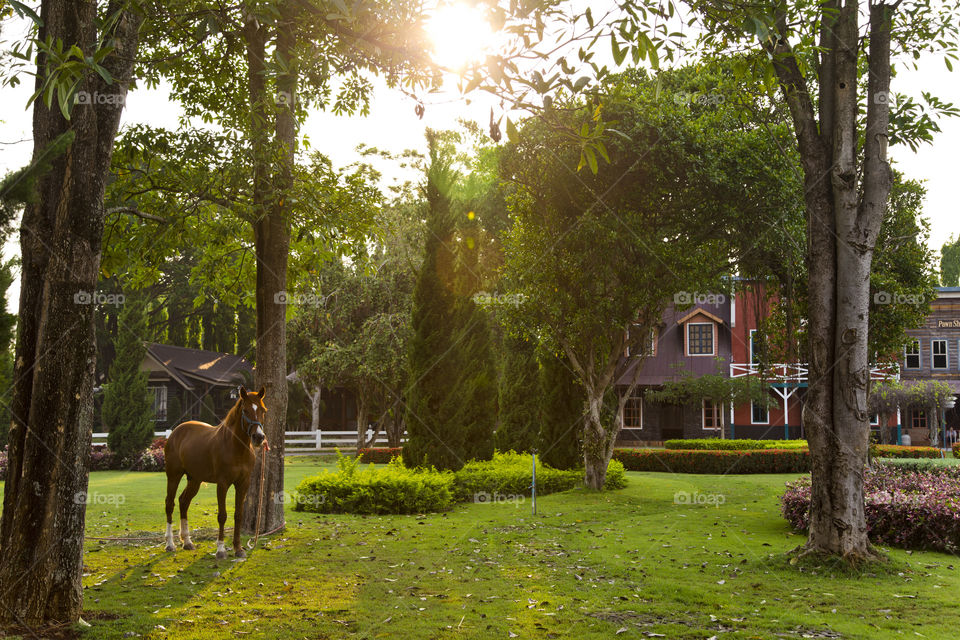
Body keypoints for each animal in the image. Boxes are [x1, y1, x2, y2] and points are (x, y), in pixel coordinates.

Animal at [162, 384, 264, 560]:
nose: (259, 437)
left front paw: (238, 549)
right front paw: (221, 549)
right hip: (173, 476)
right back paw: (170, 544)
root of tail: (176, 432)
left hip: (194, 480)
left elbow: (238, 515)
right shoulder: (222, 484)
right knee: (170, 504)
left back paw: (187, 542)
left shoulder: (243, 484)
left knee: (183, 502)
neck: (235, 448)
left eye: (263, 410)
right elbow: (222, 516)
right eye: (245, 410)